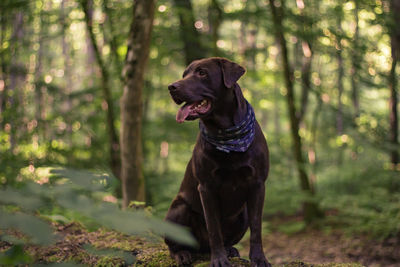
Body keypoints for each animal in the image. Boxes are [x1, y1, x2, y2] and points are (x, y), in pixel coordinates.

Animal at [164, 57, 270, 267]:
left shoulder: (258, 184)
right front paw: (219, 259)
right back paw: (183, 254)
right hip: (178, 209)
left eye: (202, 73)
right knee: (174, 244)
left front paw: (259, 258)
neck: (227, 134)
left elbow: (256, 228)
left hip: (242, 215)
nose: (172, 87)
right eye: (184, 75)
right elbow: (214, 228)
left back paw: (230, 250)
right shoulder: (207, 187)